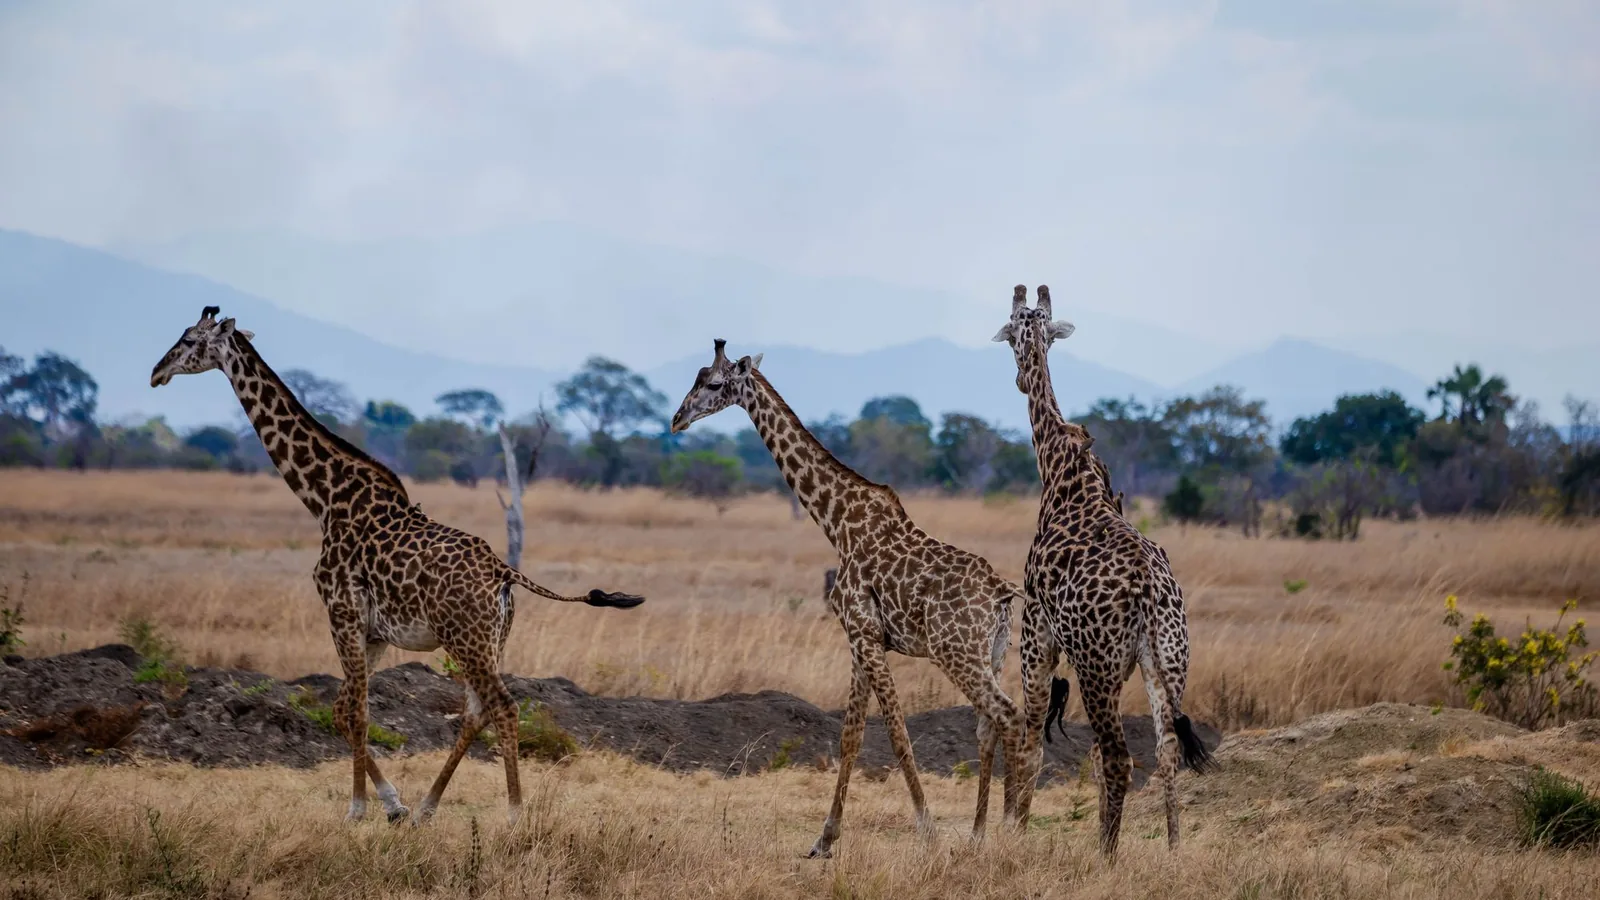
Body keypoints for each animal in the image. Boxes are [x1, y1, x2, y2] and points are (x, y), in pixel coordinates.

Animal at [150, 306, 645, 825]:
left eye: (189, 339)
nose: (156, 373)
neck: (324, 499)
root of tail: (504, 573)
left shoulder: (342, 613)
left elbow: (359, 711)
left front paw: (356, 810)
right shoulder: (374, 632)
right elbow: (343, 710)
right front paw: (394, 804)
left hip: (466, 641)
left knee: (503, 707)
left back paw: (512, 815)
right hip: (491, 640)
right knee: (477, 711)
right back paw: (428, 806)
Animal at [670, 340, 1027, 858]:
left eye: (714, 383)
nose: (677, 419)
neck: (836, 522)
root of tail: (1002, 593)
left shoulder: (863, 633)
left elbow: (897, 733)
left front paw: (928, 831)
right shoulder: (861, 640)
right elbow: (851, 736)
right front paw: (824, 838)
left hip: (956, 653)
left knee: (1008, 715)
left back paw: (1012, 829)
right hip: (991, 654)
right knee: (988, 726)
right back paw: (982, 834)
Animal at [991, 285, 1215, 857]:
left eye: (1014, 330)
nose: (1018, 378)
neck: (1060, 472)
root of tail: (1149, 592)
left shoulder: (1037, 632)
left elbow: (1030, 740)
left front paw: (1014, 835)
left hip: (1098, 667)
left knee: (1117, 758)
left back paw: (1105, 859)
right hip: (1166, 661)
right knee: (1165, 749)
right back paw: (1172, 851)